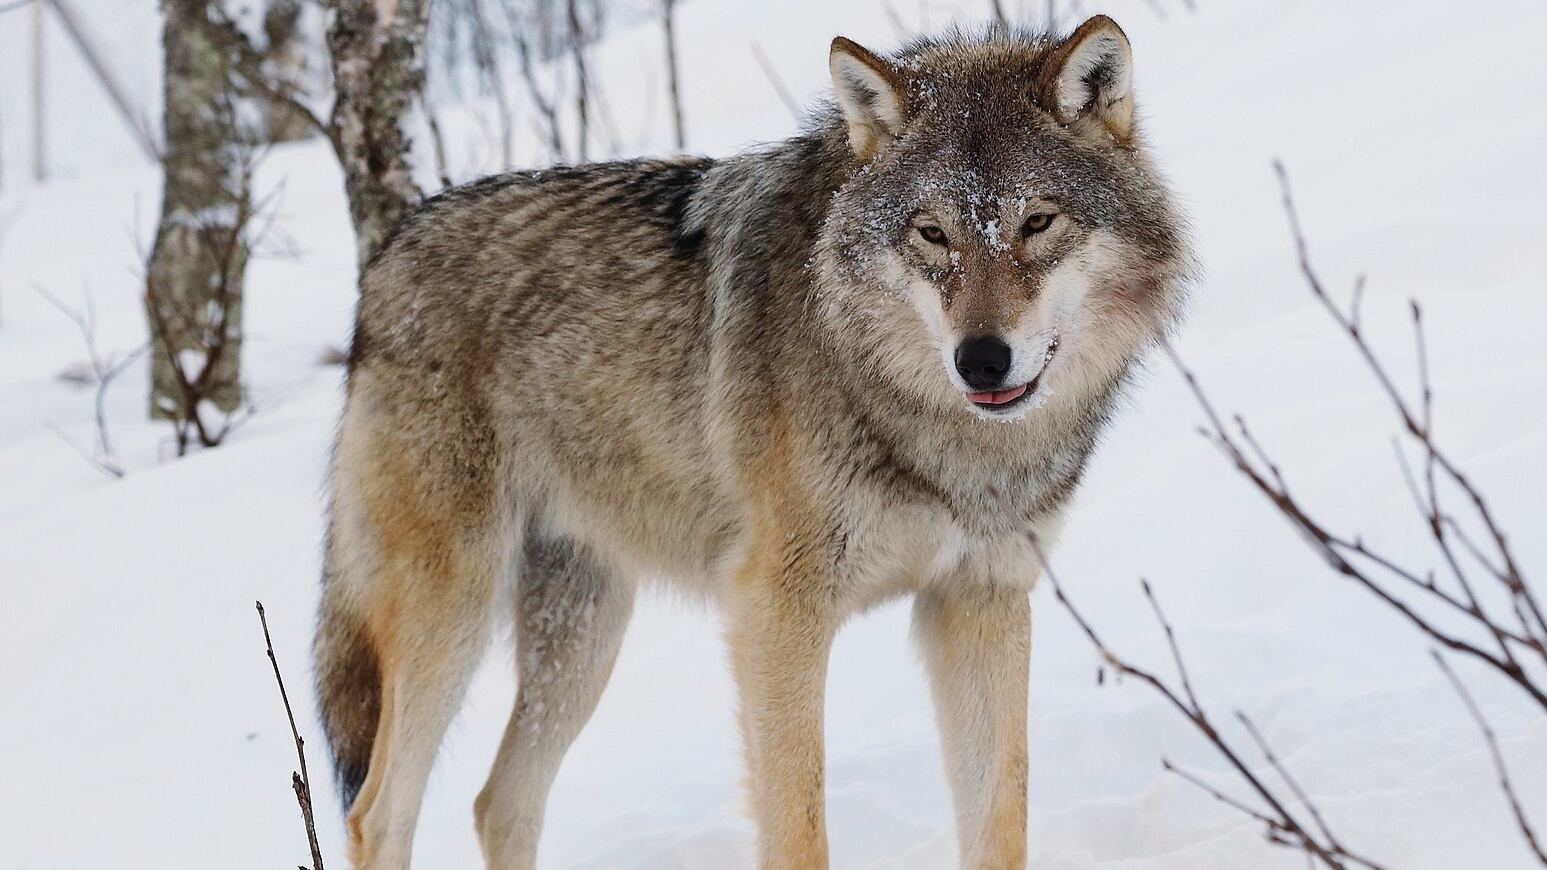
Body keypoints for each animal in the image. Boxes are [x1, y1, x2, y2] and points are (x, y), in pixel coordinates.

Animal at [315, 14, 1190, 869]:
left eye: (1037, 222)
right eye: (932, 234)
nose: (980, 360)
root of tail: (387, 255)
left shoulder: (980, 599)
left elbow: (999, 822)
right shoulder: (774, 611)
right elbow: (798, 830)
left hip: (582, 635)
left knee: (499, 804)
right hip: (453, 612)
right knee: (376, 816)